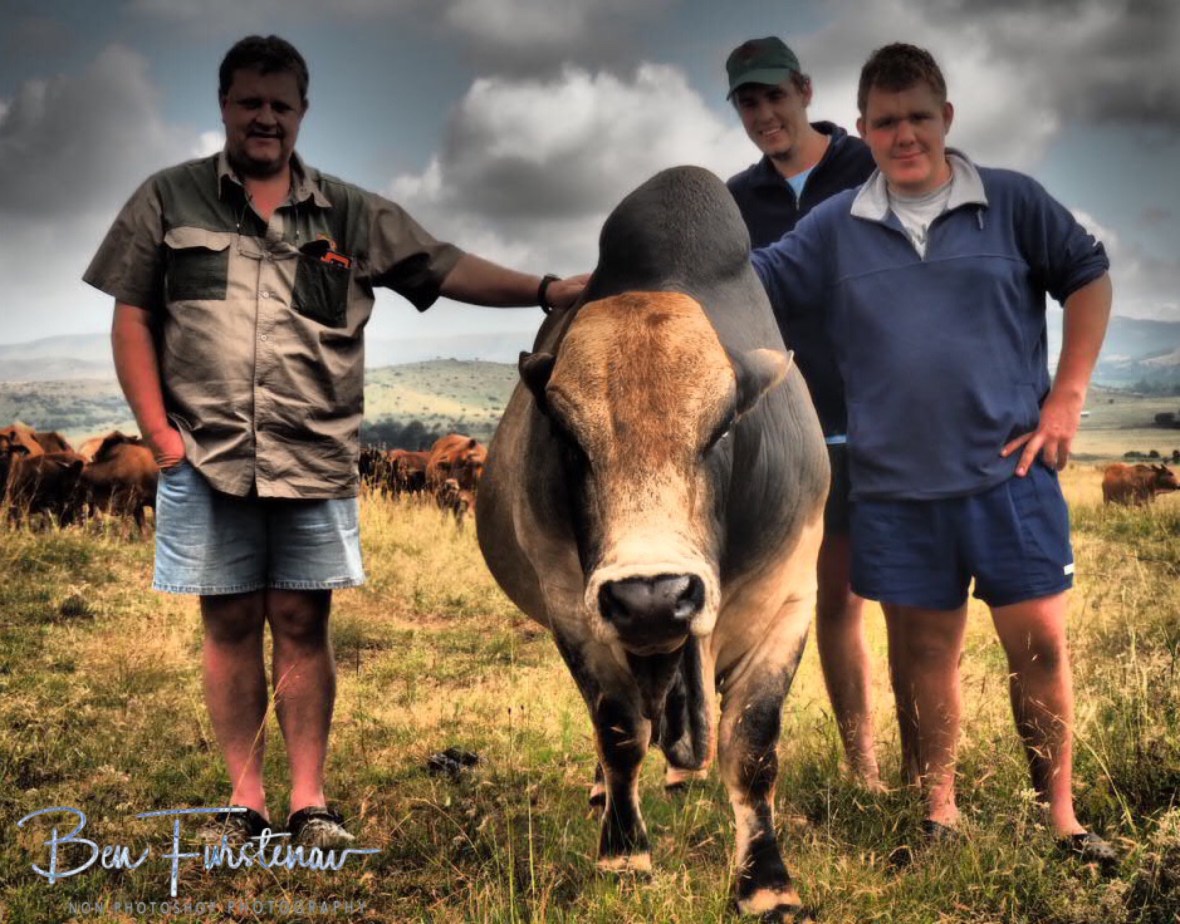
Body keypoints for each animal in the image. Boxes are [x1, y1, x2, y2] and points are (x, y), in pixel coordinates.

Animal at [476, 166, 828, 921]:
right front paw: (624, 851)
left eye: (723, 427)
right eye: (568, 437)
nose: (651, 598)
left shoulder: (790, 595)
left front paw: (765, 880)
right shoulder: (574, 608)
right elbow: (617, 730)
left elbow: (753, 747)